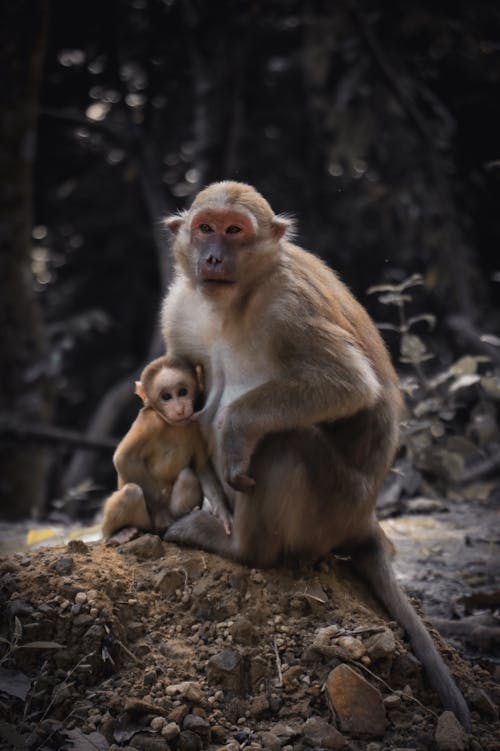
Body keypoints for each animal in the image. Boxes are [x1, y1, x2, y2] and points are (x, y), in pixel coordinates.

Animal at [104, 356, 233, 544]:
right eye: (166, 397)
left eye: (182, 392)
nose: (179, 409)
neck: (171, 425)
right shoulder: (149, 422)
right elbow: (124, 458)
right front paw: (161, 513)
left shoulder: (197, 425)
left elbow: (201, 467)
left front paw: (223, 514)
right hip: (145, 524)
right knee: (131, 492)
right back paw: (117, 534)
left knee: (188, 475)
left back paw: (188, 514)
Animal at [162, 181, 470, 728]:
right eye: (205, 228)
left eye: (234, 230)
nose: (214, 255)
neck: (233, 304)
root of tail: (366, 517)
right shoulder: (180, 309)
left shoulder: (290, 306)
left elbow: (347, 384)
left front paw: (233, 429)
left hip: (330, 508)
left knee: (286, 440)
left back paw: (242, 547)